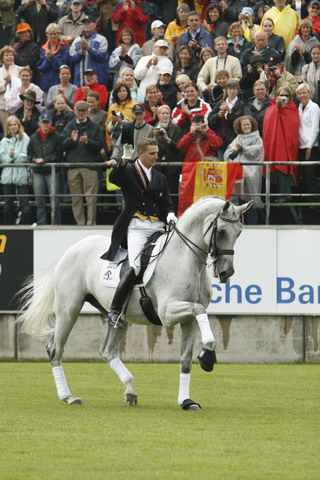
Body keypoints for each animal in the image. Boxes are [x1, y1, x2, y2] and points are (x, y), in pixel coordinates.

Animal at [17, 197, 252, 410]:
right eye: (221, 231)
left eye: (239, 232)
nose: (226, 272)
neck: (184, 258)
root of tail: (72, 249)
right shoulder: (167, 312)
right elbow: (199, 309)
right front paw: (208, 356)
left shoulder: (188, 320)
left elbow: (186, 359)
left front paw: (186, 401)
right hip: (69, 309)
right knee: (55, 349)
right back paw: (68, 396)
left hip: (119, 316)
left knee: (107, 351)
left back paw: (130, 390)